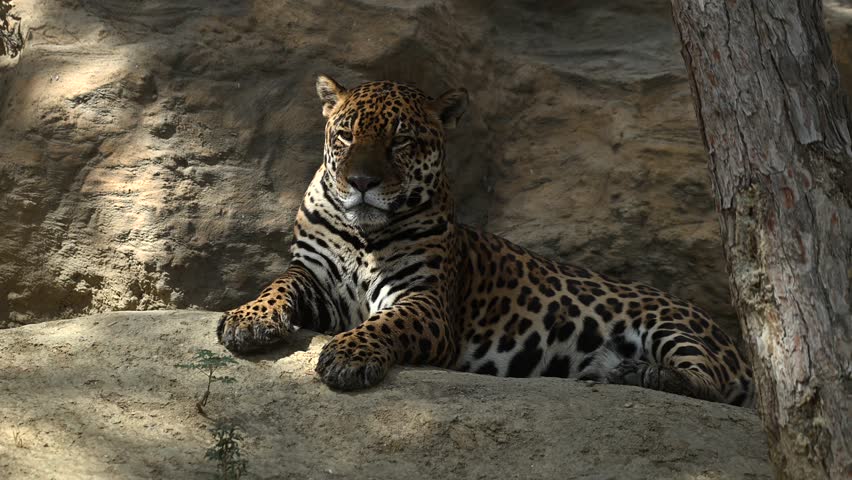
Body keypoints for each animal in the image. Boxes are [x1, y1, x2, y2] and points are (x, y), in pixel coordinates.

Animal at [217, 75, 755, 406]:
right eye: (346, 135)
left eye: (401, 141)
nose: (362, 182)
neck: (362, 232)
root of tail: (737, 344)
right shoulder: (314, 279)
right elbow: (277, 285)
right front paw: (247, 320)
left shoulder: (426, 302)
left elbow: (386, 324)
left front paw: (349, 355)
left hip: (672, 327)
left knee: (709, 382)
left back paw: (641, 374)